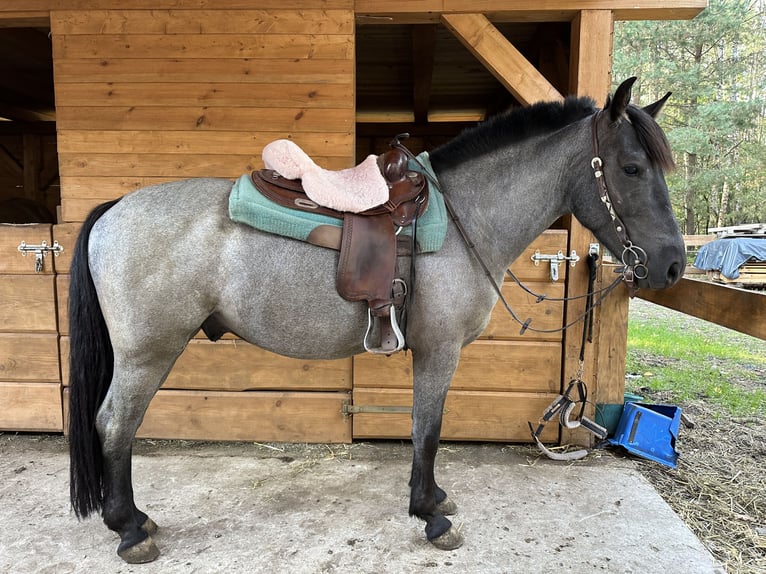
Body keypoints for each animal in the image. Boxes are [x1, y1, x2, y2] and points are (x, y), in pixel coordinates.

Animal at [69, 79, 688, 564]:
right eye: (632, 168)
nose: (672, 265)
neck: (462, 219)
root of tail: (114, 208)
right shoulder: (439, 350)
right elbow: (428, 430)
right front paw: (432, 516)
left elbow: (423, 428)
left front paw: (432, 501)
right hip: (147, 352)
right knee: (115, 424)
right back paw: (130, 530)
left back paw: (135, 521)